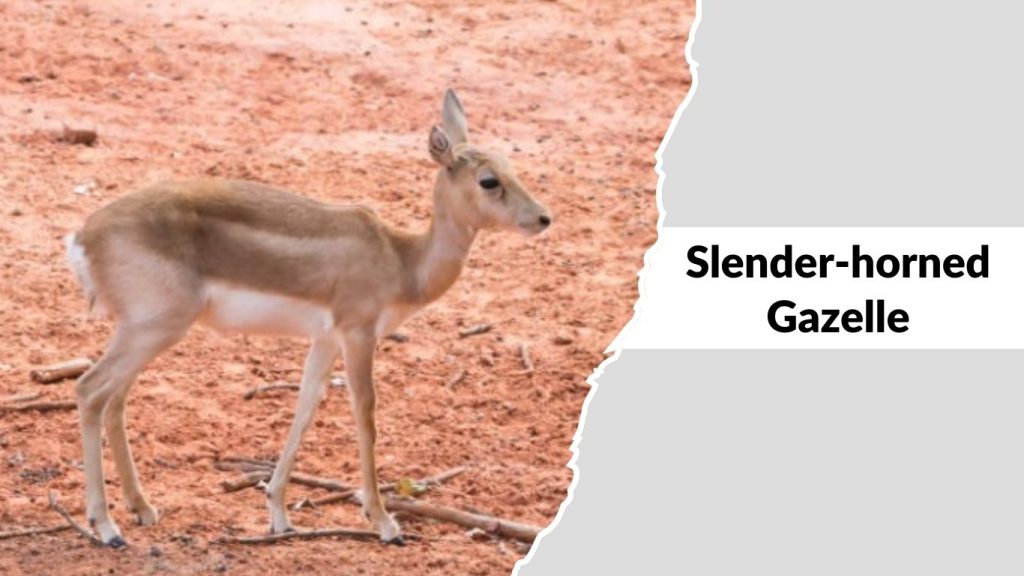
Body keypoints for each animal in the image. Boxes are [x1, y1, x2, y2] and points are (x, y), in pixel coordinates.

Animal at [64, 89, 551, 547]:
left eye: (512, 166)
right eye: (488, 180)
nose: (543, 218)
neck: (402, 261)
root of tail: (84, 237)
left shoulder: (326, 340)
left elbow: (305, 404)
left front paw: (279, 514)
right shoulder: (358, 334)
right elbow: (365, 413)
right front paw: (384, 522)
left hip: (145, 332)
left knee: (114, 400)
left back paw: (141, 508)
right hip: (154, 328)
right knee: (90, 390)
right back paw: (106, 526)